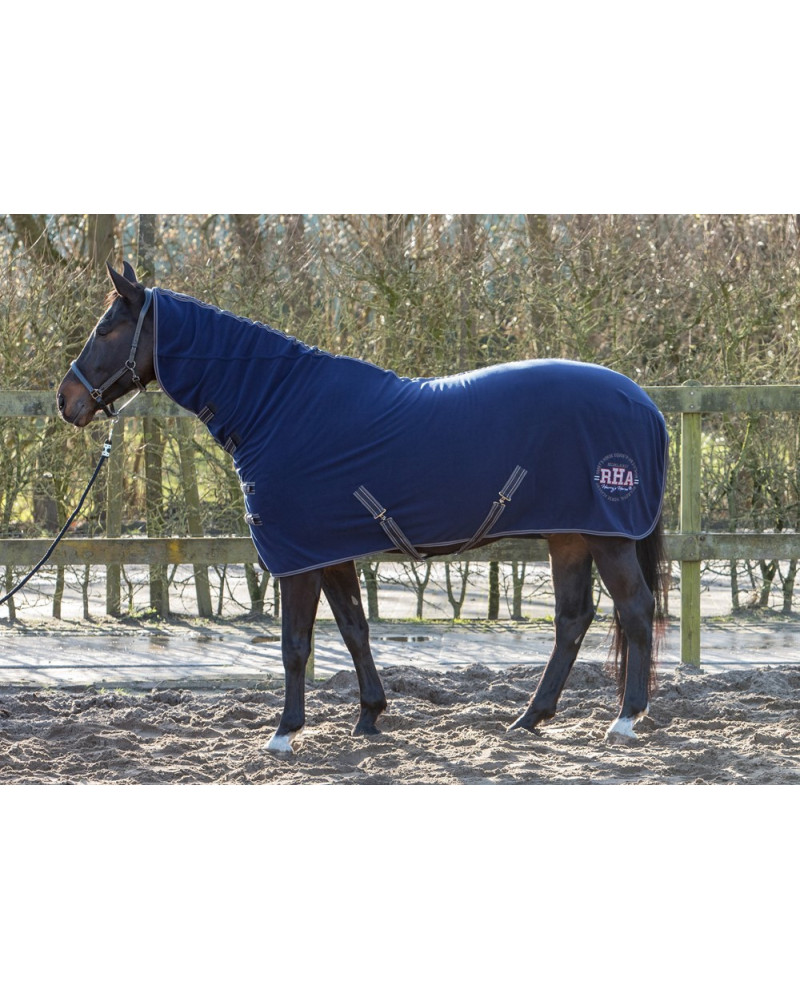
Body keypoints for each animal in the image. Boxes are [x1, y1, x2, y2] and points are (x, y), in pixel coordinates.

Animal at [57, 261, 668, 753]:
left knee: (636, 611)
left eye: (106, 328)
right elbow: (354, 629)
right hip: (570, 535)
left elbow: (295, 645)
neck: (279, 407)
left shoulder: (297, 559)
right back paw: (529, 719)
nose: (66, 400)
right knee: (573, 620)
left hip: (609, 536)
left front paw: (284, 732)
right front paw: (370, 715)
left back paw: (624, 720)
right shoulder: (328, 551)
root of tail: (647, 405)